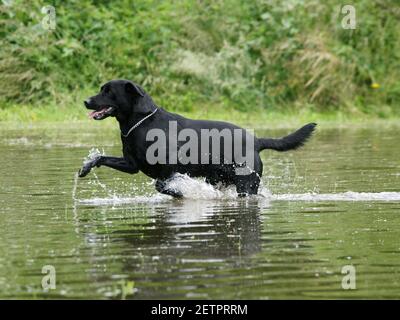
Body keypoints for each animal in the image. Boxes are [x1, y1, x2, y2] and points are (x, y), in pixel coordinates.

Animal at [79, 79, 316, 198]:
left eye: (108, 91)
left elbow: (162, 185)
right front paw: (85, 167)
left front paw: (181, 193)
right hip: (221, 179)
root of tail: (257, 141)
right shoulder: (131, 165)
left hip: (246, 185)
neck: (141, 122)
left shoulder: (170, 168)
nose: (85, 101)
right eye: (101, 89)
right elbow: (100, 158)